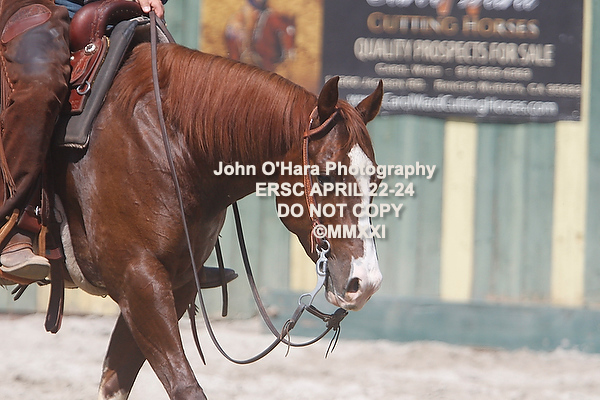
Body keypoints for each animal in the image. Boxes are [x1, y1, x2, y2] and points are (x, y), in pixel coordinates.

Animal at [52, 41, 383, 399]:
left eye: (376, 181)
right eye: (325, 176)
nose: (366, 282)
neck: (166, 143)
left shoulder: (176, 283)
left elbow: (116, 380)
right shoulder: (136, 279)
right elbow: (185, 386)